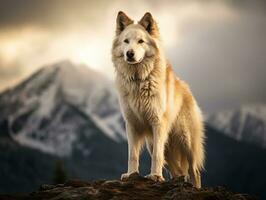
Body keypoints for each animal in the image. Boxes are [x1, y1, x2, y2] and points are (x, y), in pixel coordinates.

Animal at [111, 11, 205, 188]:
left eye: (141, 41)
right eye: (126, 41)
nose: (129, 54)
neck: (139, 80)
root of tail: (187, 88)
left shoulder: (158, 123)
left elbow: (156, 156)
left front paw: (155, 176)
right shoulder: (131, 124)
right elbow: (132, 155)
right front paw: (131, 175)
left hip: (185, 141)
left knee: (194, 171)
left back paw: (195, 187)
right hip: (155, 144)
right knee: (179, 172)